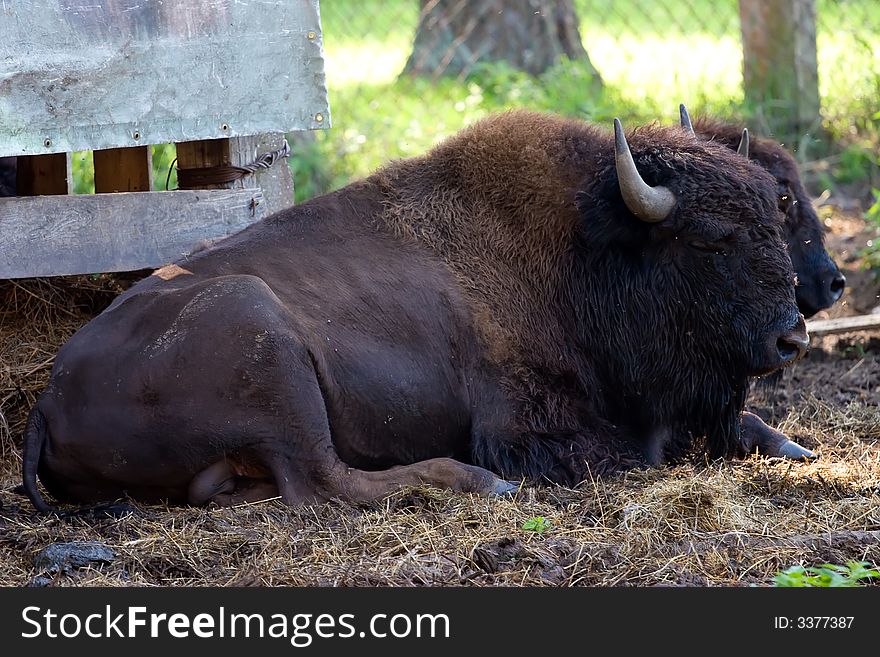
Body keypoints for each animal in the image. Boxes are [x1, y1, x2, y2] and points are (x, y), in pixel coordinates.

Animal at [20, 111, 808, 512]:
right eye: (710, 241)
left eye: (778, 216)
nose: (792, 339)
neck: (584, 250)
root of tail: (49, 396)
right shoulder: (528, 426)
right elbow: (626, 453)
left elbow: (749, 429)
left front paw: (796, 448)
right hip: (266, 342)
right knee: (321, 483)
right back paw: (480, 482)